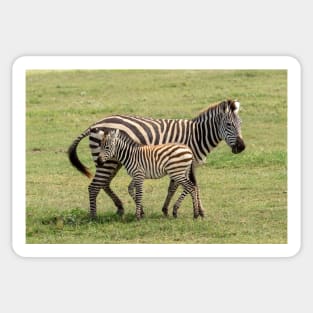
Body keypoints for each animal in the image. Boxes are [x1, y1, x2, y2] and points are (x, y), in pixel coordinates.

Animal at [67, 98, 244, 218]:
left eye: (241, 123)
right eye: (229, 125)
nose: (242, 147)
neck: (197, 136)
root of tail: (95, 124)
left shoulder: (186, 164)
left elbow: (185, 186)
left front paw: (182, 210)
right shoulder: (183, 163)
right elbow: (185, 186)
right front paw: (189, 211)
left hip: (112, 161)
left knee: (104, 183)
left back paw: (121, 207)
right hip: (107, 160)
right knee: (95, 186)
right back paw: (94, 216)